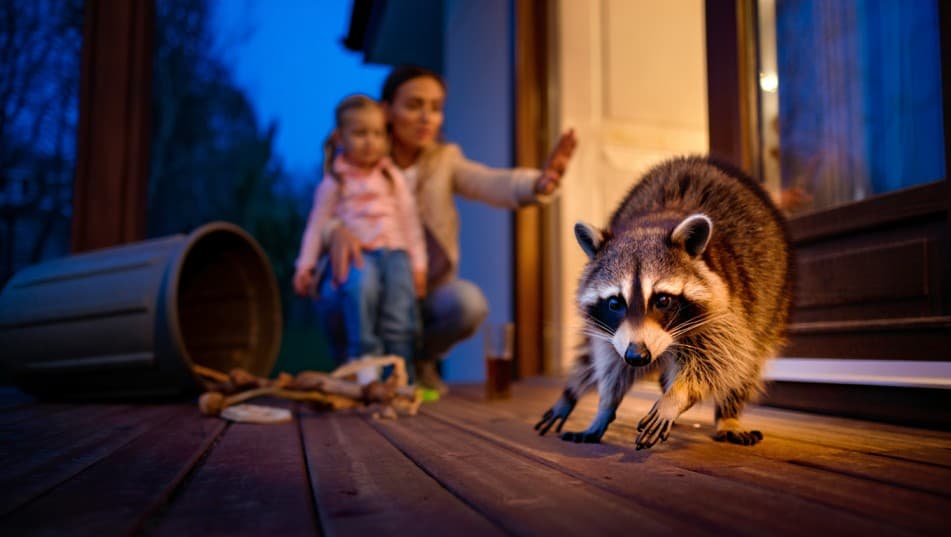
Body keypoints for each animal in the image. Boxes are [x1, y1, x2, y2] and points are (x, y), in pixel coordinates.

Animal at [535, 156, 793, 449]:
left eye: (663, 300)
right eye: (614, 303)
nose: (637, 356)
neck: (652, 223)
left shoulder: (727, 309)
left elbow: (722, 358)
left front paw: (677, 395)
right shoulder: (610, 331)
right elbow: (611, 362)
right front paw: (605, 404)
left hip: (772, 301)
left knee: (747, 363)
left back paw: (728, 414)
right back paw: (573, 391)